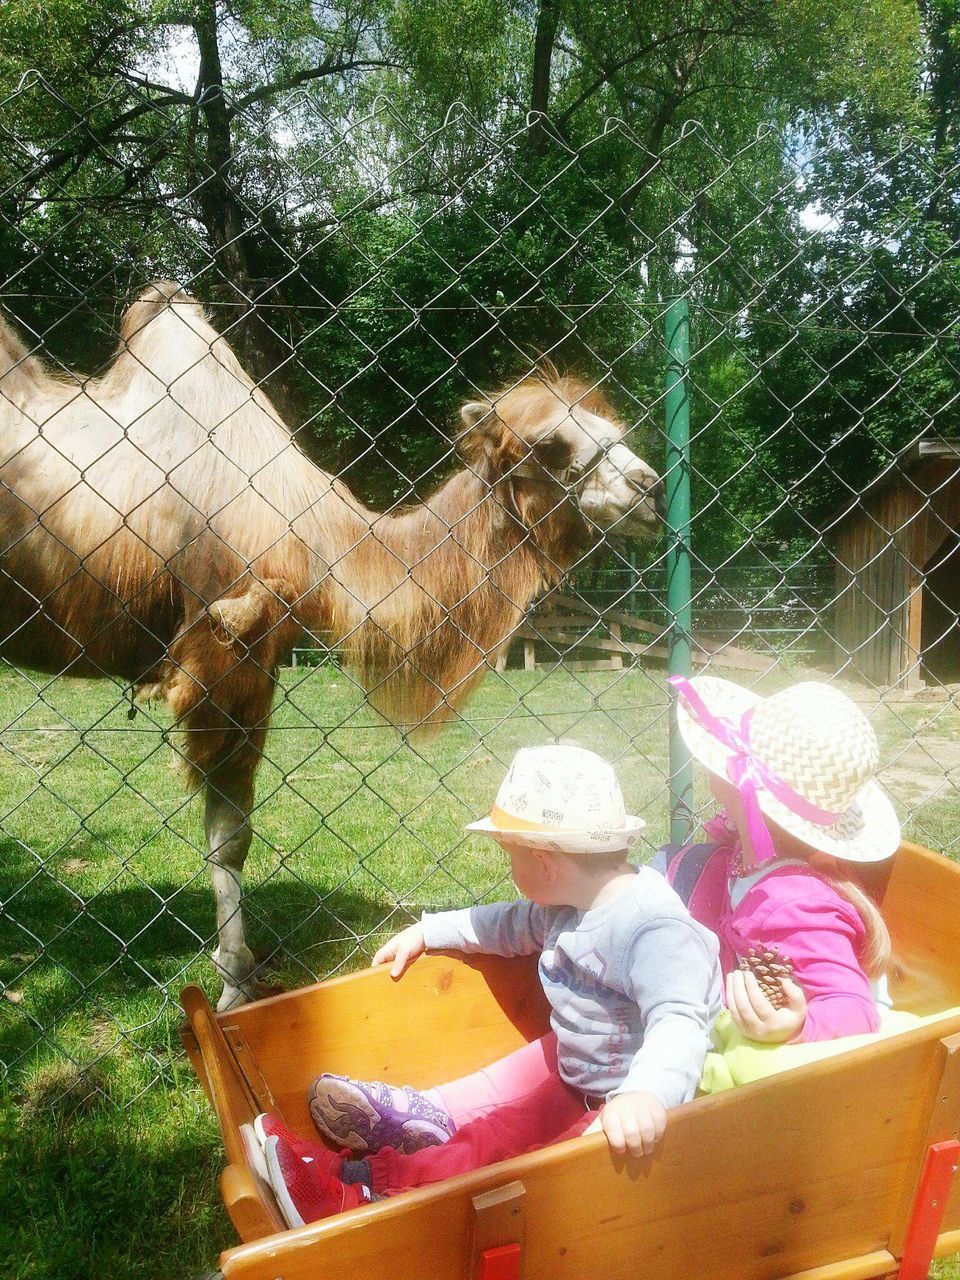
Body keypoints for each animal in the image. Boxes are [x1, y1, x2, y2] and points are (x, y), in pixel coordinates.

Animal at [0, 282, 665, 1008]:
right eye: (552, 444)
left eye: (616, 436)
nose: (650, 488)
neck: (321, 542)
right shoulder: (225, 651)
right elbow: (229, 837)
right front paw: (234, 987)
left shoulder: (255, 659)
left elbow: (230, 833)